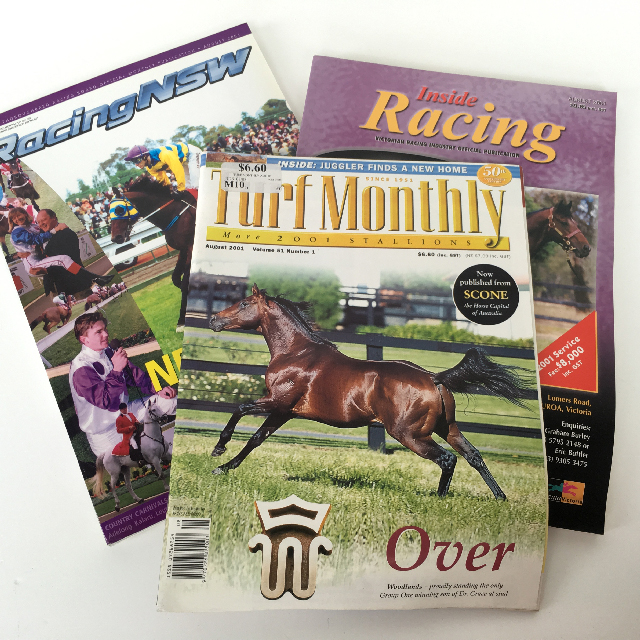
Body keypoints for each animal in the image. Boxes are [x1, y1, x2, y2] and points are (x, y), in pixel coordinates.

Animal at [110, 176, 196, 325]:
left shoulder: (191, 246)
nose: (116, 237)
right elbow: (176, 279)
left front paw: (182, 319)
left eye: (119, 209)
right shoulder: (183, 248)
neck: (175, 214)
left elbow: (185, 282)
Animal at [208, 285, 534, 499]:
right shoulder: (284, 411)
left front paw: (218, 450)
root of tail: (434, 378)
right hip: (447, 427)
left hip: (409, 434)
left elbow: (239, 410)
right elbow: (256, 439)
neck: (296, 353)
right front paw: (224, 468)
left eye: (244, 304)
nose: (213, 319)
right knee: (473, 455)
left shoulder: (276, 401)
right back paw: (500, 497)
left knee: (447, 459)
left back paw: (438, 498)